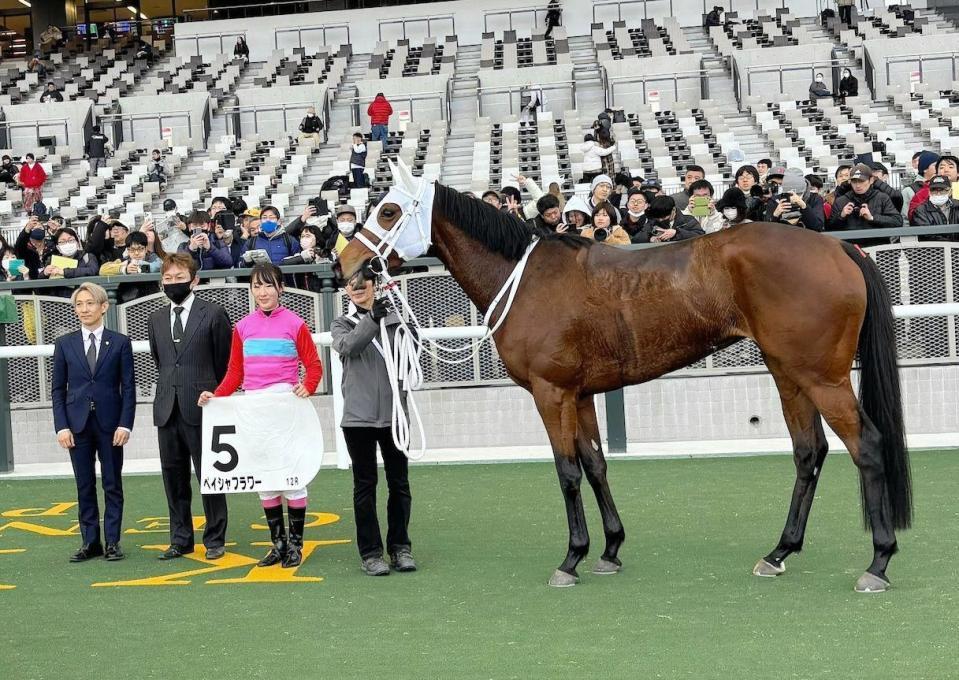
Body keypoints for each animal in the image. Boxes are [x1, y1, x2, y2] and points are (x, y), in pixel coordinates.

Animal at [334, 173, 912, 592]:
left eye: (388, 210)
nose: (346, 263)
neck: (527, 279)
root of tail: (840, 249)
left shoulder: (551, 394)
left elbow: (567, 471)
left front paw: (571, 558)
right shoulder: (582, 394)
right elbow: (595, 465)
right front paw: (610, 549)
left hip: (822, 377)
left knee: (867, 445)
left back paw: (879, 562)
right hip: (788, 373)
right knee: (808, 452)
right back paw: (779, 552)